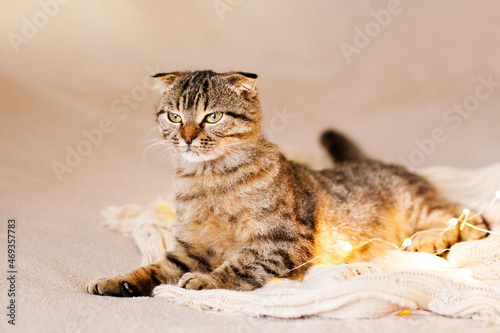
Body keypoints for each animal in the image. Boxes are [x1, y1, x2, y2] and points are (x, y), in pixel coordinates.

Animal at [87, 69, 488, 296]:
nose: (186, 137)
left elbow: (241, 264)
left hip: (417, 207)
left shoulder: (281, 241)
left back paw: (434, 237)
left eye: (212, 117)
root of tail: (370, 161)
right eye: (173, 116)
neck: (207, 180)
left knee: (465, 214)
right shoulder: (188, 251)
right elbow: (153, 269)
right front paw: (117, 281)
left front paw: (208, 281)